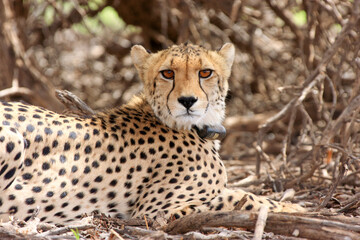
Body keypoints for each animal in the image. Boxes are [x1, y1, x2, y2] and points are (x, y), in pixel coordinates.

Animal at [0, 42, 304, 223]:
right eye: (167, 73)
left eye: (205, 72)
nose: (187, 101)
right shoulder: (153, 212)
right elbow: (233, 198)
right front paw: (292, 208)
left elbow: (235, 194)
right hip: (13, 140)